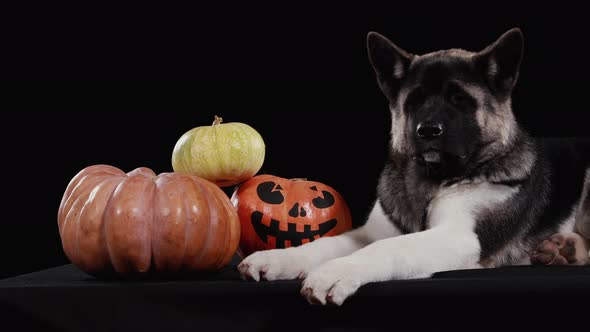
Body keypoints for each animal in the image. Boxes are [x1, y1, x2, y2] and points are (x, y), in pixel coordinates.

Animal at [237, 29, 590, 306]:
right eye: (415, 101)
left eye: (459, 100)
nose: (428, 131)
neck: (434, 179)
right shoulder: (368, 232)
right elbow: (328, 241)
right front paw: (279, 258)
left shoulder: (460, 237)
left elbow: (388, 247)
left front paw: (335, 272)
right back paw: (564, 249)